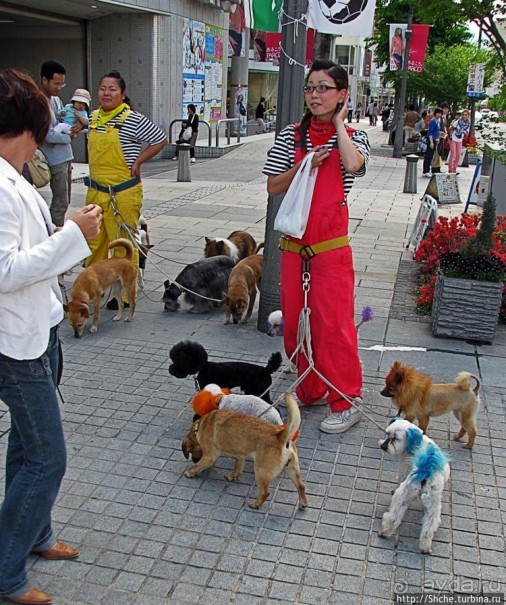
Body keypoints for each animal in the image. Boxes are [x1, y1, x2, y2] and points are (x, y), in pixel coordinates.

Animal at [378, 418, 448, 556]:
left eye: (395, 438)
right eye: (387, 434)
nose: (383, 446)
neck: (418, 440)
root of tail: (426, 469)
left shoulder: (404, 467)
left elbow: (400, 478)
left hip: (403, 495)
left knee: (394, 516)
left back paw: (384, 532)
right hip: (433, 503)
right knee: (429, 526)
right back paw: (425, 547)